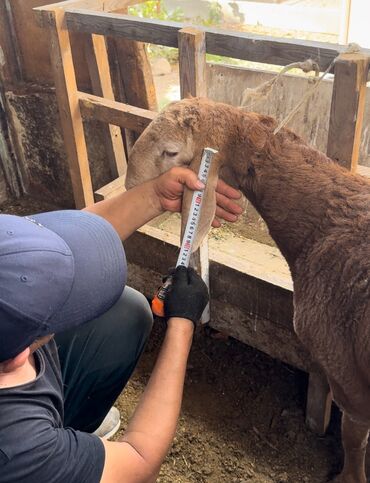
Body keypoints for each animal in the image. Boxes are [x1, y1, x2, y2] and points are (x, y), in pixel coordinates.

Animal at [125, 96, 370, 482]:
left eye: (170, 150)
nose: (129, 185)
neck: (326, 218)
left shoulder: (349, 381)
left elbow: (354, 443)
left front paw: (348, 478)